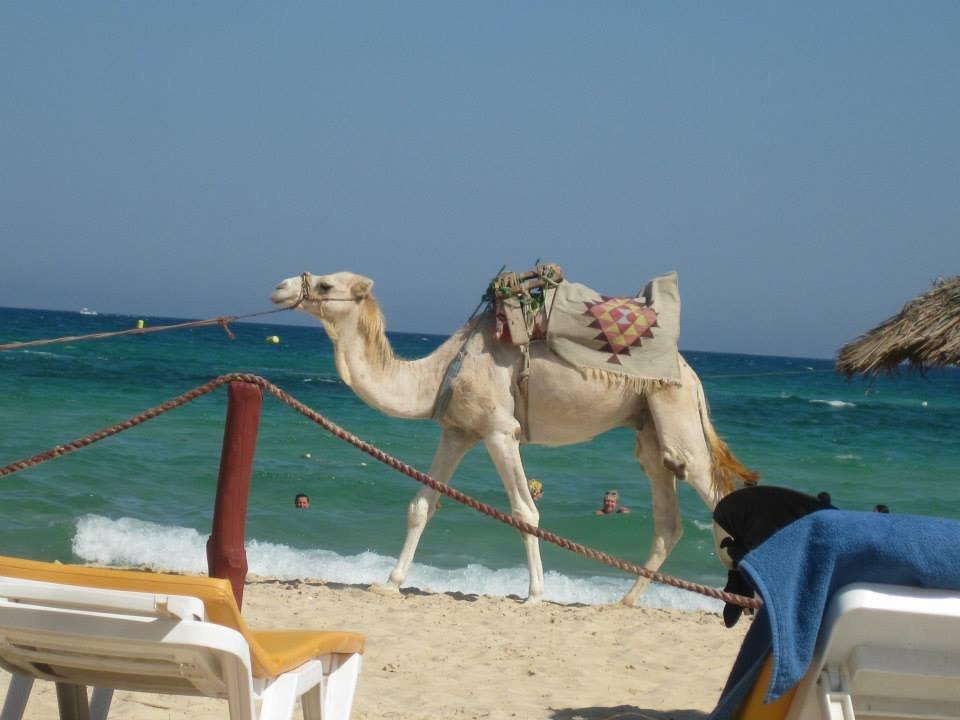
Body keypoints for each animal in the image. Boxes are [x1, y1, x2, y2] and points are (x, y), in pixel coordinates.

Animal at [271, 271, 759, 605]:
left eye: (327, 285)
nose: (280, 286)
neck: (439, 373)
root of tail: (691, 374)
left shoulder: (499, 430)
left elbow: (524, 511)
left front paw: (535, 594)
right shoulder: (457, 432)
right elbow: (421, 505)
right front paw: (389, 582)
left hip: (674, 409)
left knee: (710, 487)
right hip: (650, 430)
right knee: (668, 518)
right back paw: (626, 601)